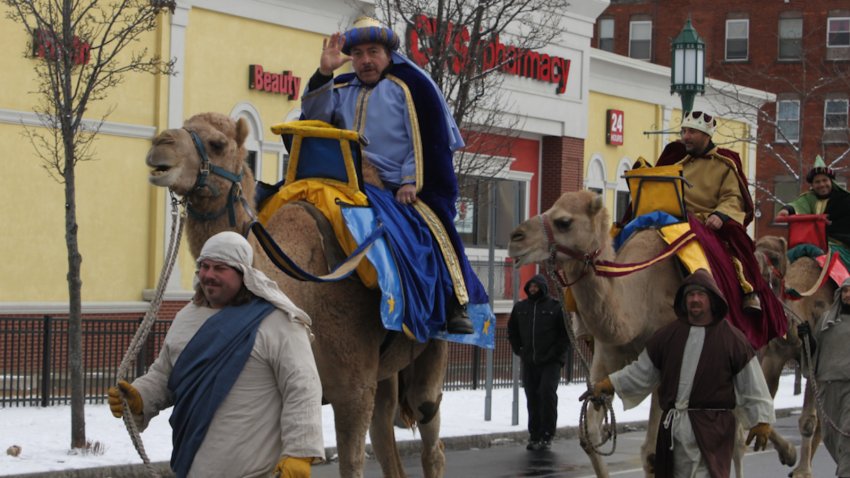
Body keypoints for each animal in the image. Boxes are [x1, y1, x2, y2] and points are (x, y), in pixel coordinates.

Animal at [144, 113, 450, 478]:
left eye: (217, 144)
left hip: (432, 345)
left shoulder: (352, 390)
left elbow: (351, 463)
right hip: (385, 372)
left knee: (428, 423)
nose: (160, 145)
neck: (302, 290)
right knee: (385, 433)